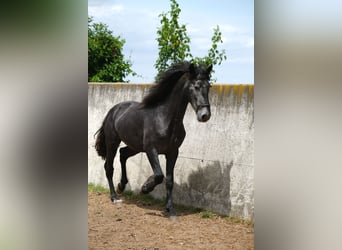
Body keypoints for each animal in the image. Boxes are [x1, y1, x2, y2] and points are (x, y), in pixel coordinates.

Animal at [93, 61, 211, 216]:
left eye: (209, 86)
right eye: (196, 86)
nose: (205, 115)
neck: (164, 118)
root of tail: (113, 110)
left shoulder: (173, 152)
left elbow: (169, 180)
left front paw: (170, 209)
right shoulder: (151, 150)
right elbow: (159, 175)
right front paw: (145, 188)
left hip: (135, 146)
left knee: (123, 154)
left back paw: (121, 185)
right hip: (113, 142)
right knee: (109, 167)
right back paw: (115, 197)